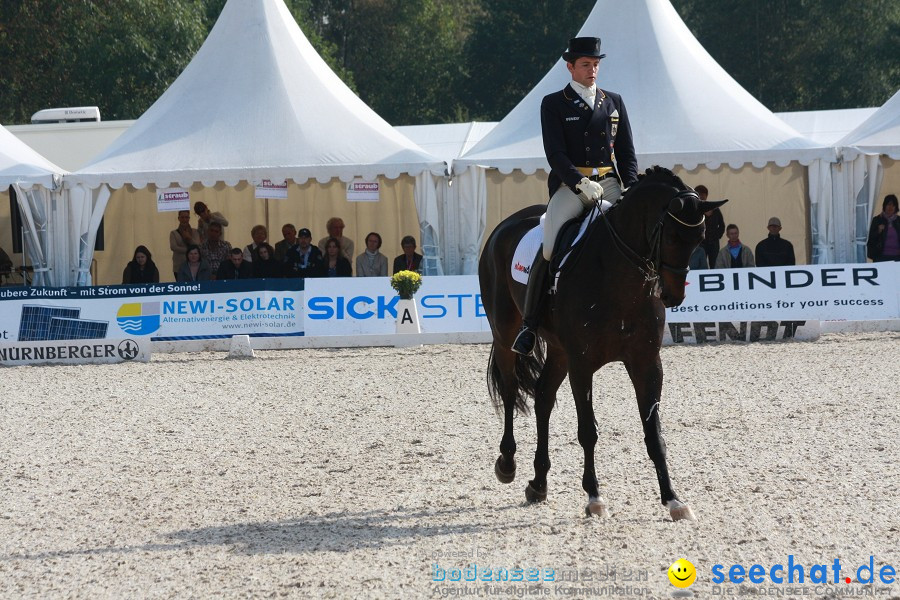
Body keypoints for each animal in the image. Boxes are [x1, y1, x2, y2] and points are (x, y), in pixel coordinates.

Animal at [478, 168, 724, 520]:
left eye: (699, 238)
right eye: (672, 237)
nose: (672, 295)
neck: (618, 278)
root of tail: (503, 227)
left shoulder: (646, 362)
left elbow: (654, 434)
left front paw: (673, 499)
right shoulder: (582, 364)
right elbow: (588, 432)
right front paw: (594, 497)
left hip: (559, 351)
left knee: (543, 398)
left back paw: (538, 483)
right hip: (505, 333)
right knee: (511, 391)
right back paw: (507, 464)